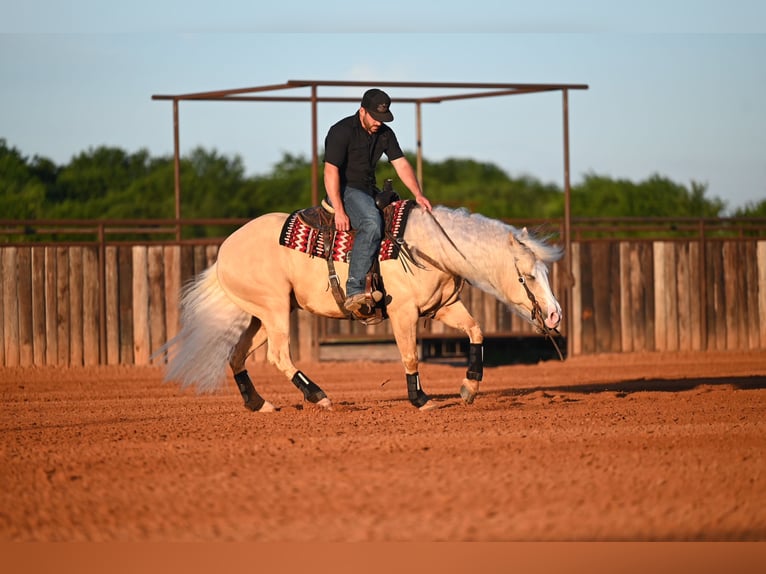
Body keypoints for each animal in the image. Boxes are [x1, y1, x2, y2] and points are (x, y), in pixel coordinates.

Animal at [156, 201, 563, 411]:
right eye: (527, 276)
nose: (555, 314)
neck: (424, 246)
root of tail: (224, 251)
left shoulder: (445, 307)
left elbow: (476, 330)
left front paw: (469, 388)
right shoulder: (403, 313)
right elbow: (411, 356)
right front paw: (420, 399)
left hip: (261, 315)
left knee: (238, 354)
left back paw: (260, 404)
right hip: (273, 310)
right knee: (278, 355)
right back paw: (319, 396)